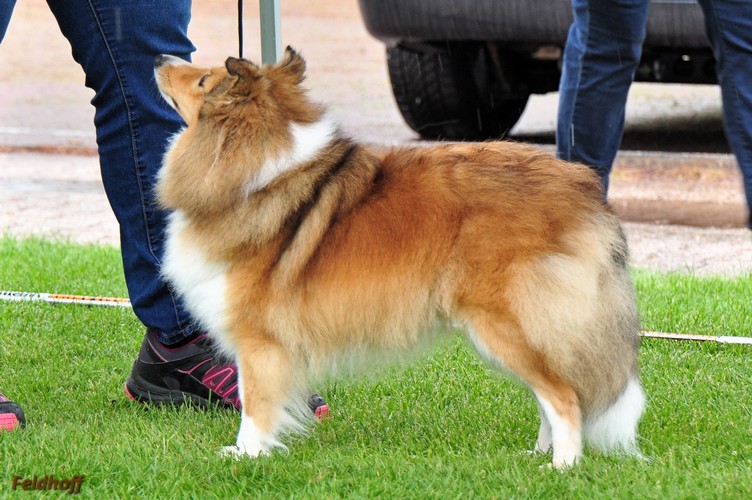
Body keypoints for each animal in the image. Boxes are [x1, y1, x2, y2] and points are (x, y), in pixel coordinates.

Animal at [154, 48, 648, 466]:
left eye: (204, 80)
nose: (160, 58)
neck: (257, 171)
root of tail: (584, 187)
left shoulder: (259, 340)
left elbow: (255, 404)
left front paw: (246, 455)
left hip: (508, 322)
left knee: (564, 396)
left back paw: (562, 466)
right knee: (551, 392)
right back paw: (539, 454)